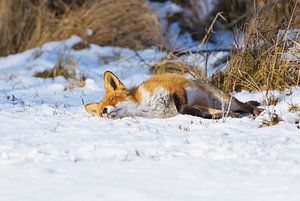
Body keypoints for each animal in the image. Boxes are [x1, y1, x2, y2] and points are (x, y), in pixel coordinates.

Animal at [84, 70, 262, 118]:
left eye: (114, 99)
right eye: (100, 112)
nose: (104, 111)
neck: (144, 106)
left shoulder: (173, 87)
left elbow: (182, 106)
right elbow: (189, 110)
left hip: (225, 99)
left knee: (244, 106)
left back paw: (257, 111)